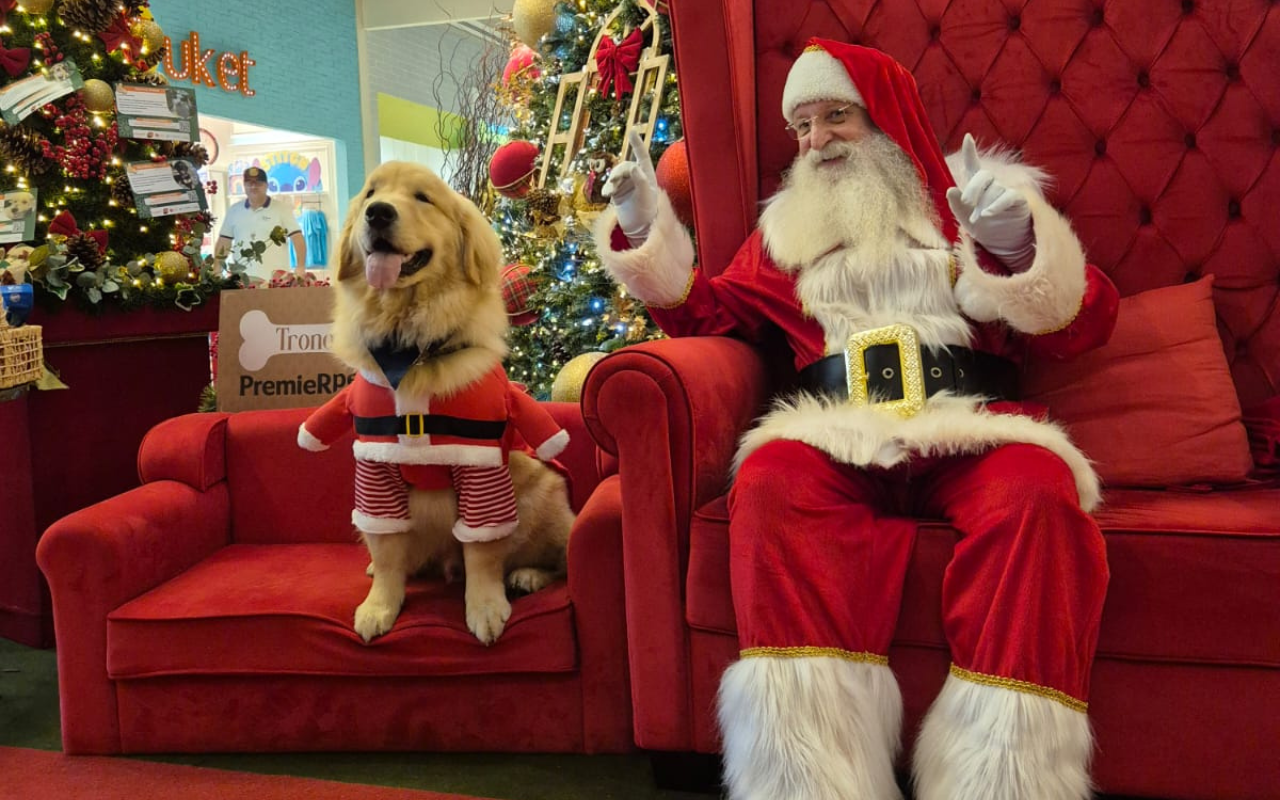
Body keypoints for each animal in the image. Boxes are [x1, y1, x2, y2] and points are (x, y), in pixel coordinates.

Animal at [330, 160, 576, 642]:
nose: (378, 214)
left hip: (538, 493)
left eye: (423, 198)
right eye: (371, 193)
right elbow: (387, 549)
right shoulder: (375, 467)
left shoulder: (481, 465)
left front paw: (484, 608)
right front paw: (380, 604)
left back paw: (528, 576)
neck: (411, 349)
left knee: (559, 560)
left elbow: (482, 553)